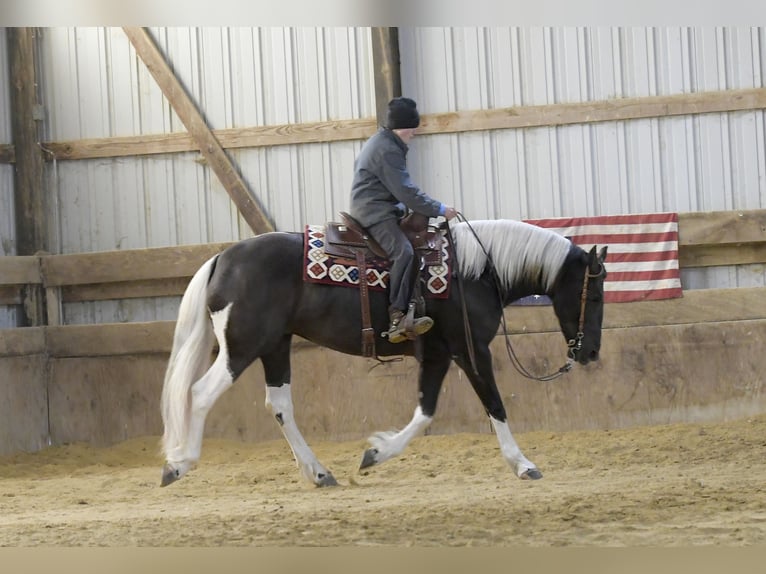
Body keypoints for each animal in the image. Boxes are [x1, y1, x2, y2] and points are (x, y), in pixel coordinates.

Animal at [159, 218, 607, 487]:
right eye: (596, 294)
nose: (590, 352)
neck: (476, 271)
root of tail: (222, 257)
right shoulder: (471, 349)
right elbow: (494, 404)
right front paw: (523, 464)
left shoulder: (438, 355)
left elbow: (425, 412)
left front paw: (375, 453)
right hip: (243, 346)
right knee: (200, 393)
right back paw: (178, 464)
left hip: (274, 345)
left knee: (280, 405)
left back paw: (319, 473)